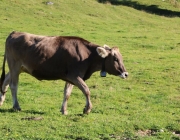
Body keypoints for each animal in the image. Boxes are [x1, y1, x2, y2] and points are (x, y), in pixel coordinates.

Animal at [0, 31, 128, 114]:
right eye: (115, 59)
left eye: (121, 58)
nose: (126, 74)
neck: (87, 55)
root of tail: (14, 33)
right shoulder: (75, 75)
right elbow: (86, 90)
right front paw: (87, 109)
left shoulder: (70, 77)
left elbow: (67, 93)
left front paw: (64, 110)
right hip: (15, 65)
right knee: (13, 85)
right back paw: (16, 106)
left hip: (18, 68)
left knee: (5, 81)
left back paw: (1, 101)